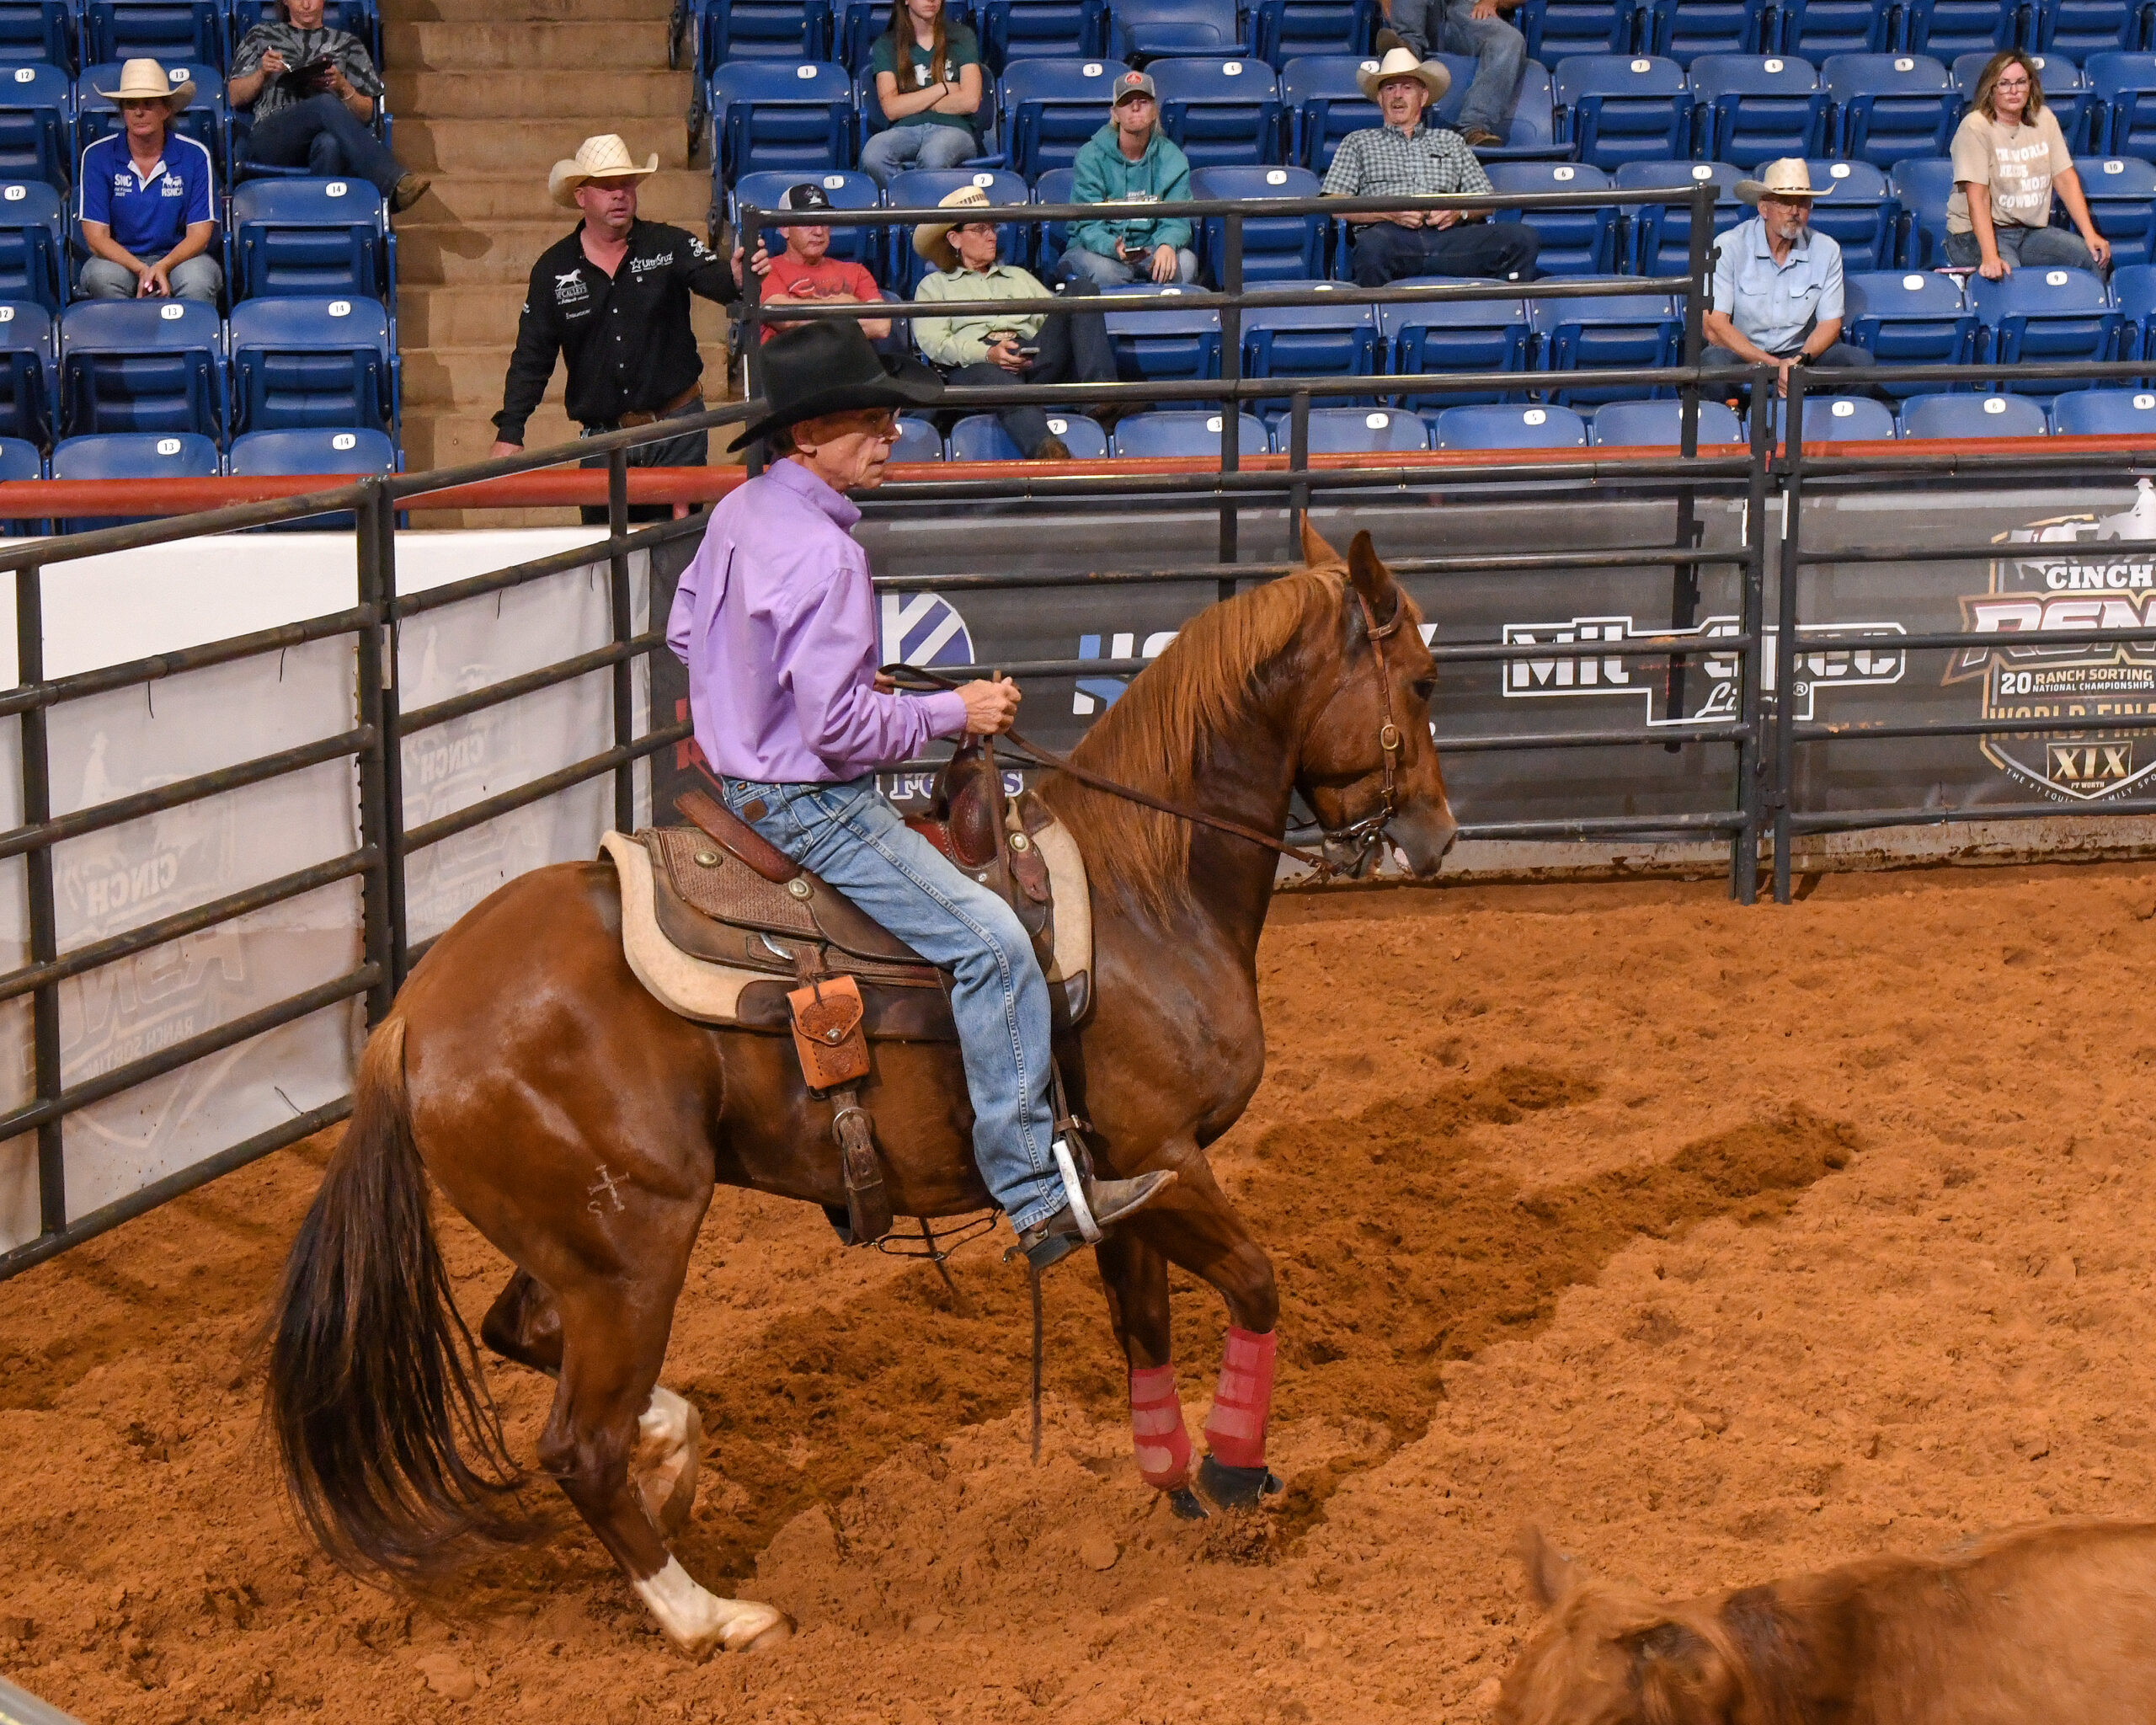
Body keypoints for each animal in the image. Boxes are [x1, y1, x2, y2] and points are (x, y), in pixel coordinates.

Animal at [264, 522, 1458, 1659]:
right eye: (1423, 681)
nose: (1438, 836)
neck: (1144, 891)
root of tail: (411, 1014)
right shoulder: (1164, 1155)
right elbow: (1256, 1285)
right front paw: (1235, 1474)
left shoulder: (1122, 1179)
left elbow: (1145, 1323)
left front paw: (1172, 1479)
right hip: (635, 1247)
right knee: (577, 1442)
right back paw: (711, 1615)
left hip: (575, 1246)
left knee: (526, 1335)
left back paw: (675, 1456)